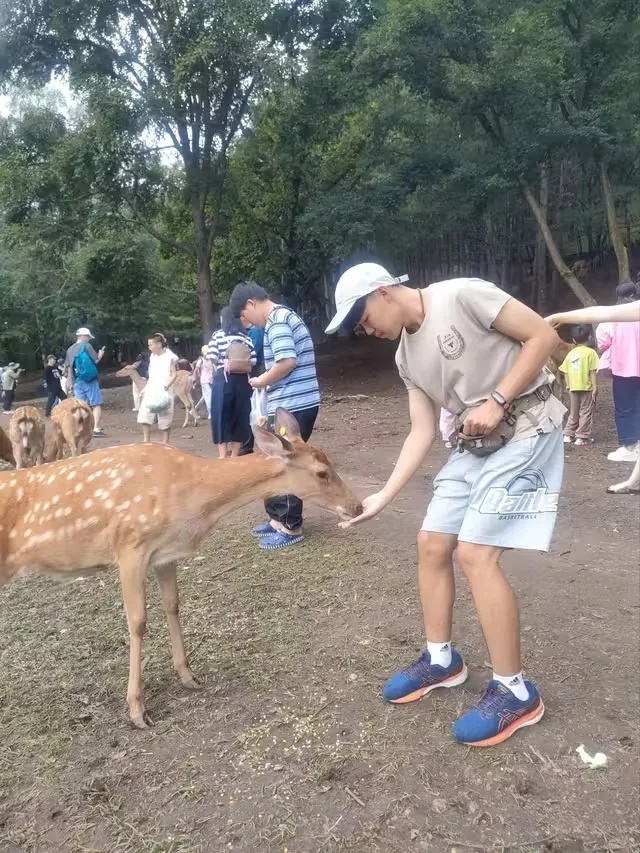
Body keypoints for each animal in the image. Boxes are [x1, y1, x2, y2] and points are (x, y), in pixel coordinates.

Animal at [0, 408, 362, 729]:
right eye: (321, 472)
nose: (356, 506)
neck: (191, 498)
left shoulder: (164, 554)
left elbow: (172, 605)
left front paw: (188, 676)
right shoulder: (129, 546)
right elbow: (138, 622)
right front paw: (137, 710)